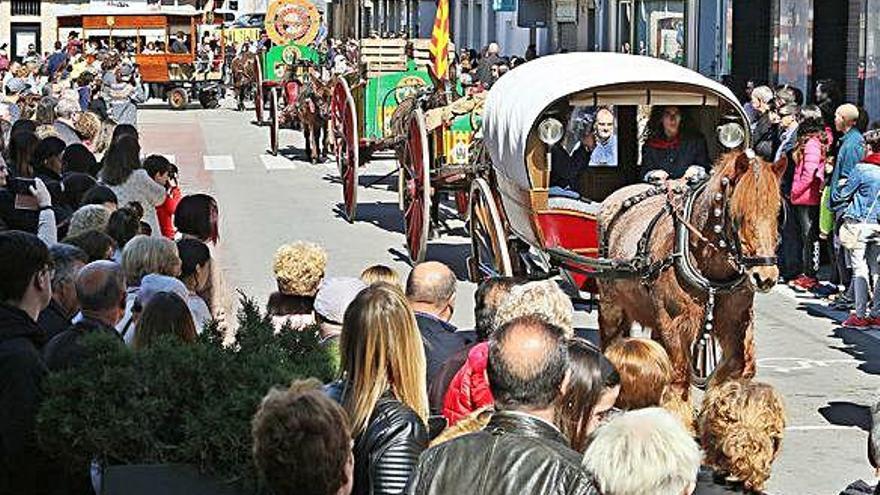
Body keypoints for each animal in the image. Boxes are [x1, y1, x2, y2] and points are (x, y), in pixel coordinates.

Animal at [600, 150, 784, 400]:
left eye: (776, 213)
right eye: (738, 214)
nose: (765, 276)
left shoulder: (735, 320)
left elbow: (737, 368)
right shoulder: (673, 324)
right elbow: (678, 379)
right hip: (611, 304)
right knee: (611, 341)